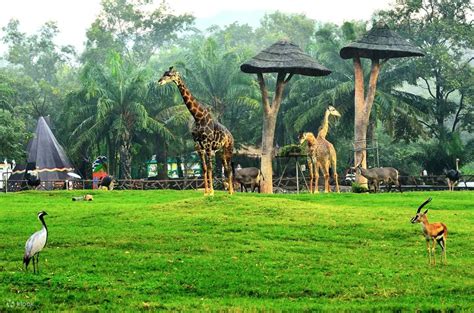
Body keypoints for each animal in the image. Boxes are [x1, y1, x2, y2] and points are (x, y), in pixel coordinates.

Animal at [158, 66, 234, 194]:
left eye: (170, 75)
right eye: (164, 73)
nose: (159, 81)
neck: (198, 117)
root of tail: (231, 136)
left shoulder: (207, 144)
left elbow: (210, 168)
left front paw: (212, 192)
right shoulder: (198, 146)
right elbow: (204, 168)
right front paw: (206, 192)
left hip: (228, 148)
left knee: (229, 168)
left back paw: (231, 192)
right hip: (220, 151)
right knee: (226, 167)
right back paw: (229, 191)